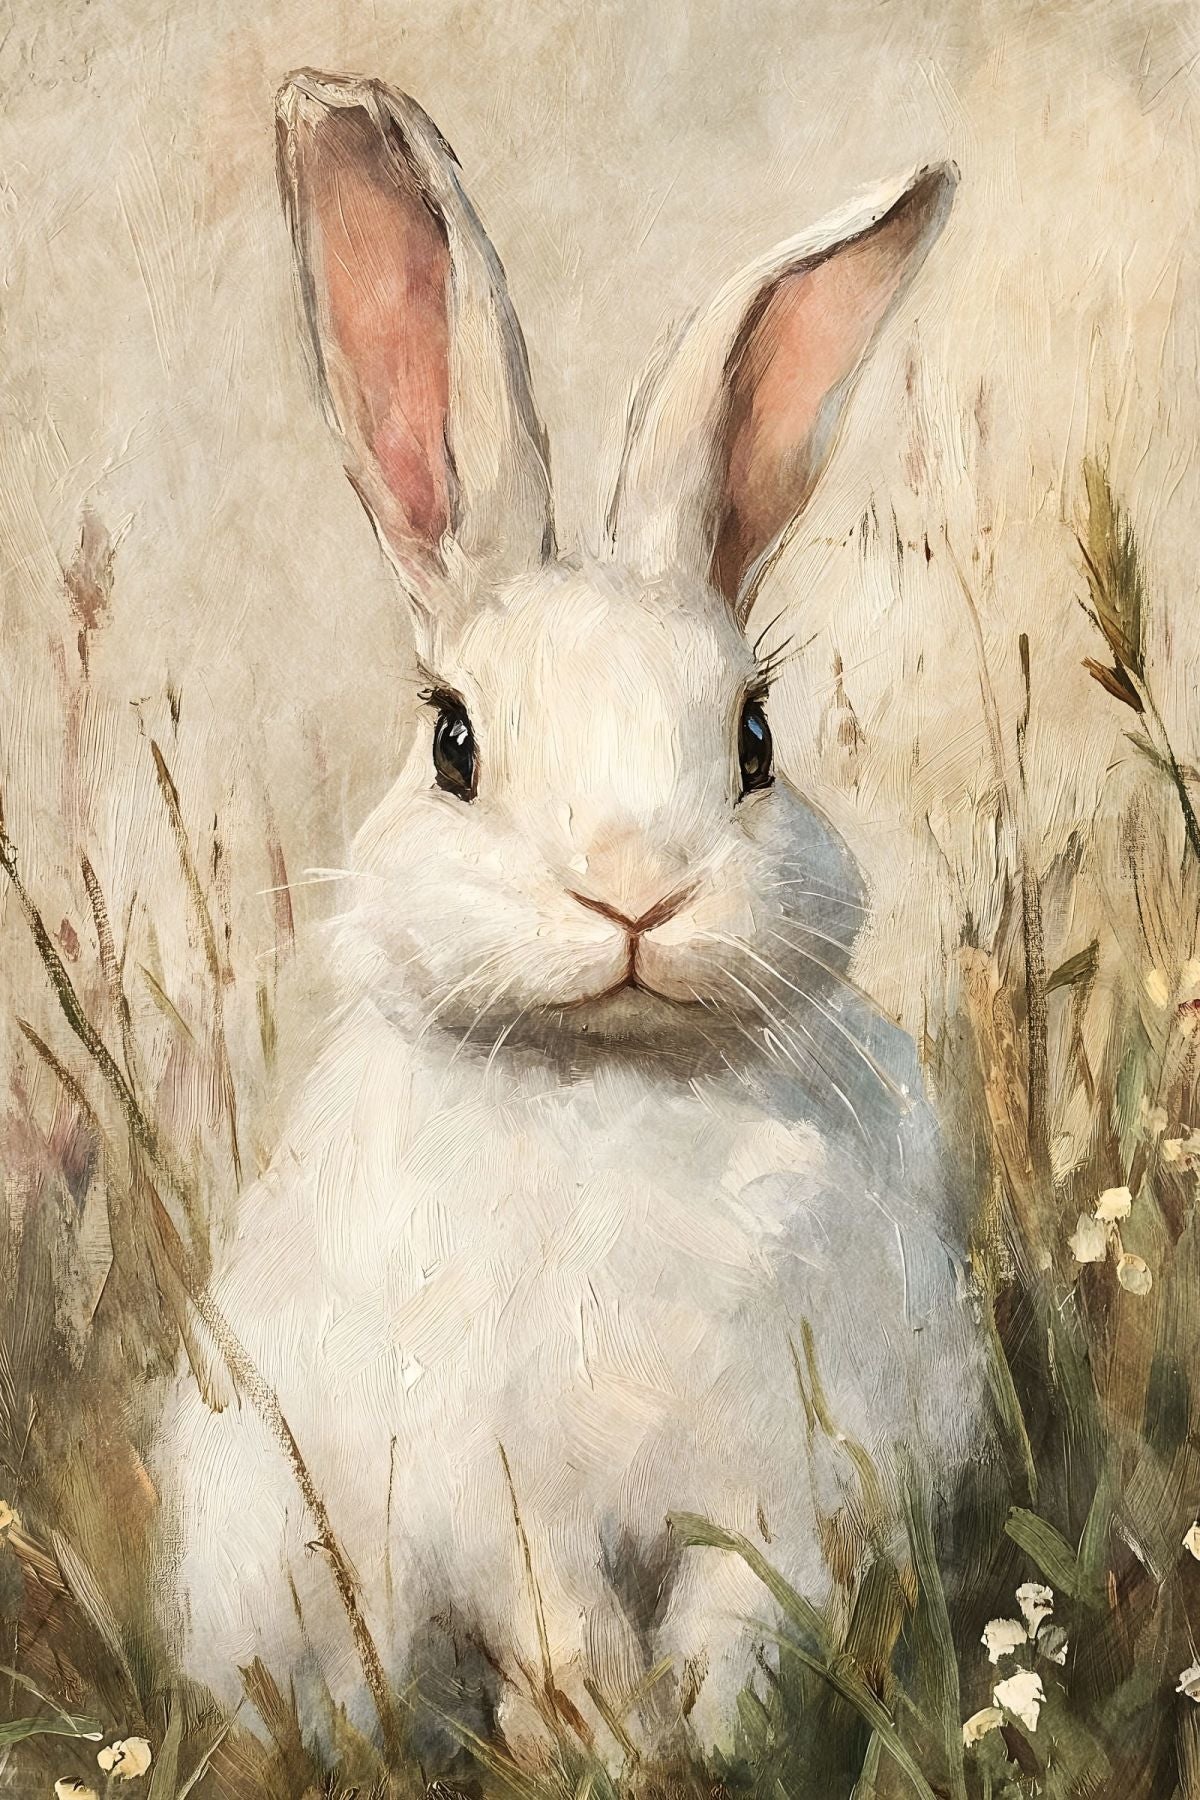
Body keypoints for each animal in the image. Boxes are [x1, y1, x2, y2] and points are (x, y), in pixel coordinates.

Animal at [153, 69, 990, 1767]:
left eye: (755, 739)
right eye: (454, 741)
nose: (631, 885)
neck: (614, 1082)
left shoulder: (796, 1459)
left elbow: (746, 1614)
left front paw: (711, 1745)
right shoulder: (485, 1482)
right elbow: (556, 1613)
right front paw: (598, 1745)